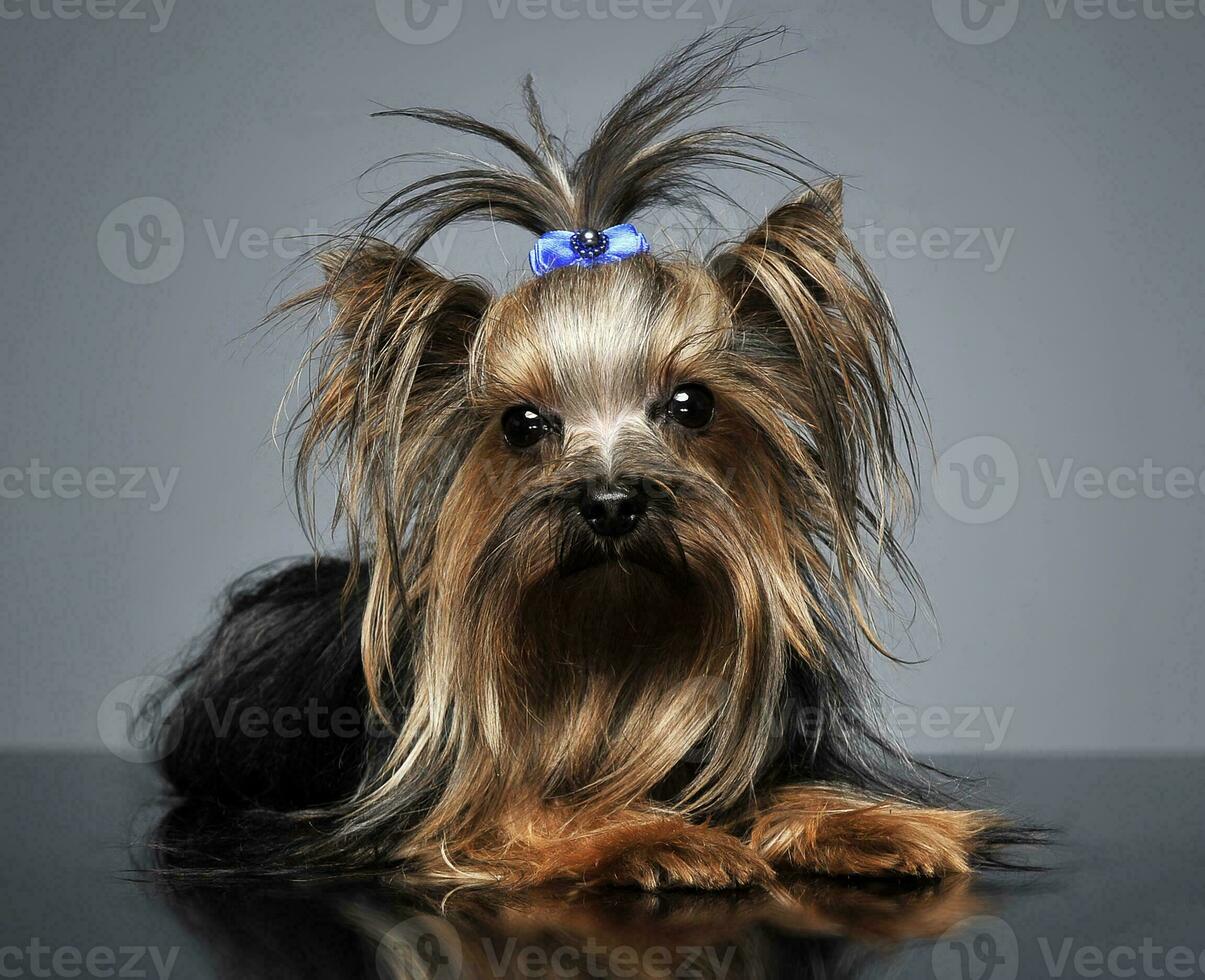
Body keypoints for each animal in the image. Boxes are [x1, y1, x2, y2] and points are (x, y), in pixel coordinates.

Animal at [157, 30, 1026, 887]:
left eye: (691, 404)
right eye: (521, 424)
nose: (611, 504)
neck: (609, 650)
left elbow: (798, 791)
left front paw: (883, 827)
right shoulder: (440, 814)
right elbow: (525, 811)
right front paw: (655, 837)